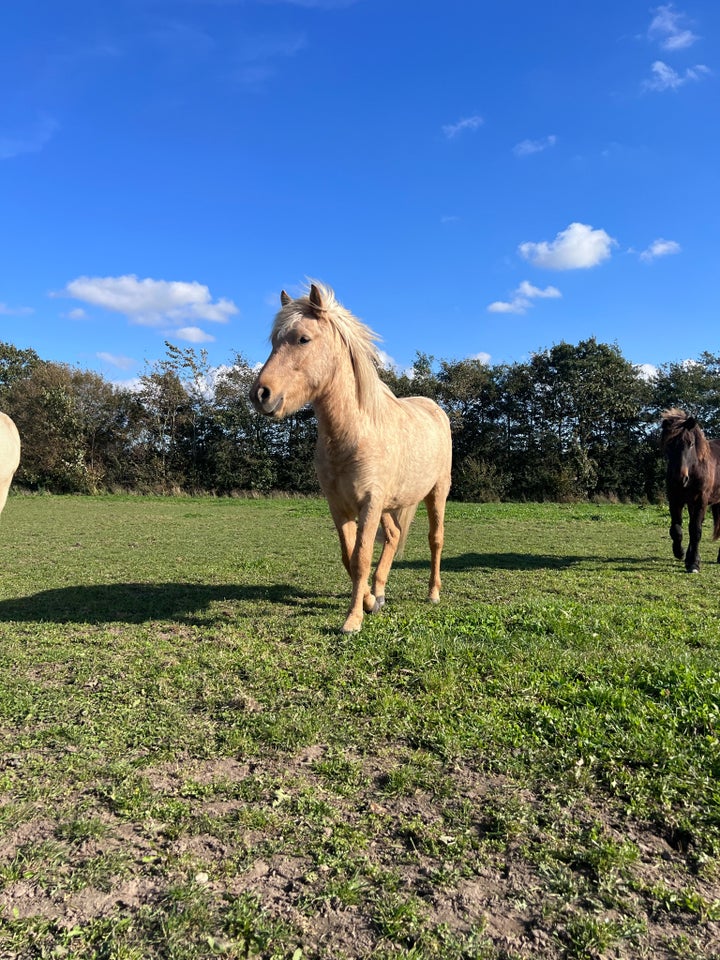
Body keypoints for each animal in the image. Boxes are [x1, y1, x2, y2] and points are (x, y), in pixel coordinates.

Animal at [249, 282, 450, 632]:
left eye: (303, 338)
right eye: (274, 341)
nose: (261, 394)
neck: (355, 432)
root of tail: (436, 409)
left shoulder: (369, 503)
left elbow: (361, 558)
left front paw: (352, 620)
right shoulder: (340, 504)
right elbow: (349, 556)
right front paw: (369, 601)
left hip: (436, 493)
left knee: (434, 540)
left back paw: (433, 593)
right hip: (390, 504)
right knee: (393, 536)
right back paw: (380, 593)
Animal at [660, 404, 720, 568]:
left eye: (691, 444)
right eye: (669, 445)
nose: (680, 479)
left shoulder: (701, 500)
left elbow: (696, 530)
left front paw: (693, 563)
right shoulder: (675, 500)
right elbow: (676, 529)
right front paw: (680, 553)